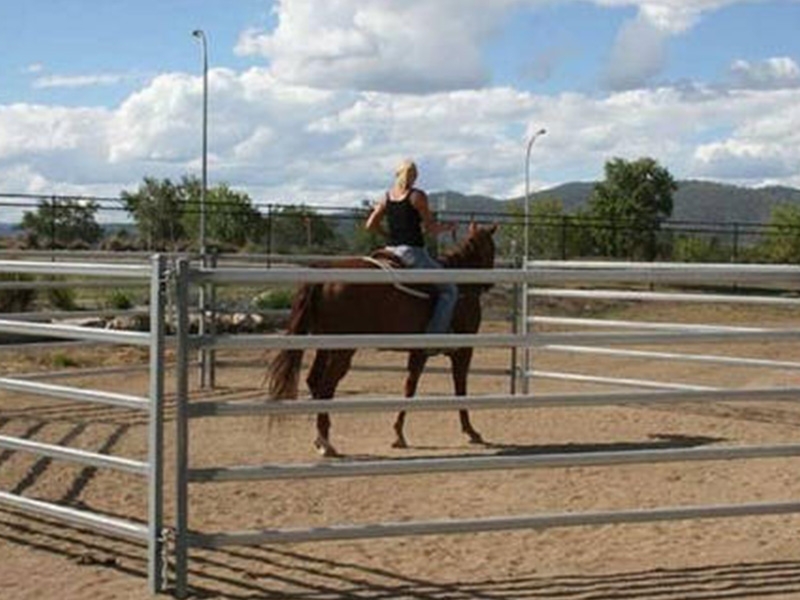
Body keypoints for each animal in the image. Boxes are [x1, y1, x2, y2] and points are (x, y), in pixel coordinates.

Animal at [268, 223, 494, 458]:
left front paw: (399, 434)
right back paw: (326, 443)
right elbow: (460, 387)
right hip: (342, 351)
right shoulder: (463, 350)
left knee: (314, 381)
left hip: (325, 346)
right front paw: (471, 431)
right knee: (326, 387)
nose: (489, 284)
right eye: (491, 248)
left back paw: (321, 439)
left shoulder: (419, 352)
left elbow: (410, 387)